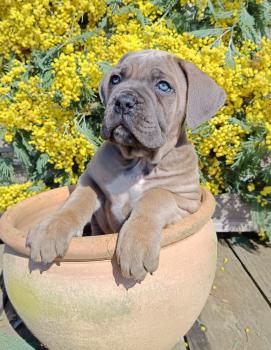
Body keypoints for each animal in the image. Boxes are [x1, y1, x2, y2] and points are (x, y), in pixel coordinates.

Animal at [26, 49, 226, 282]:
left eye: (163, 86)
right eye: (116, 79)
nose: (123, 101)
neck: (138, 159)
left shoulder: (187, 202)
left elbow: (156, 196)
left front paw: (136, 245)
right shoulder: (91, 180)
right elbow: (77, 201)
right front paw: (51, 229)